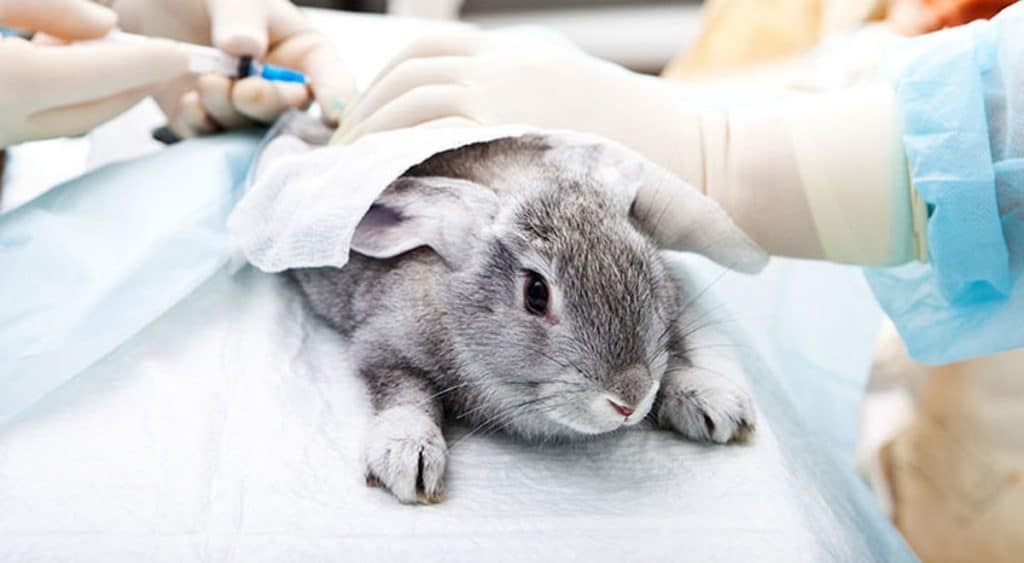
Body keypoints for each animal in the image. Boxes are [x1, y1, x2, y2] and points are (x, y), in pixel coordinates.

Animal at [290, 134, 756, 504]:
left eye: (644, 263)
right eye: (536, 293)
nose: (630, 399)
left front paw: (714, 401)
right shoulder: (383, 346)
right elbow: (407, 392)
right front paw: (408, 454)